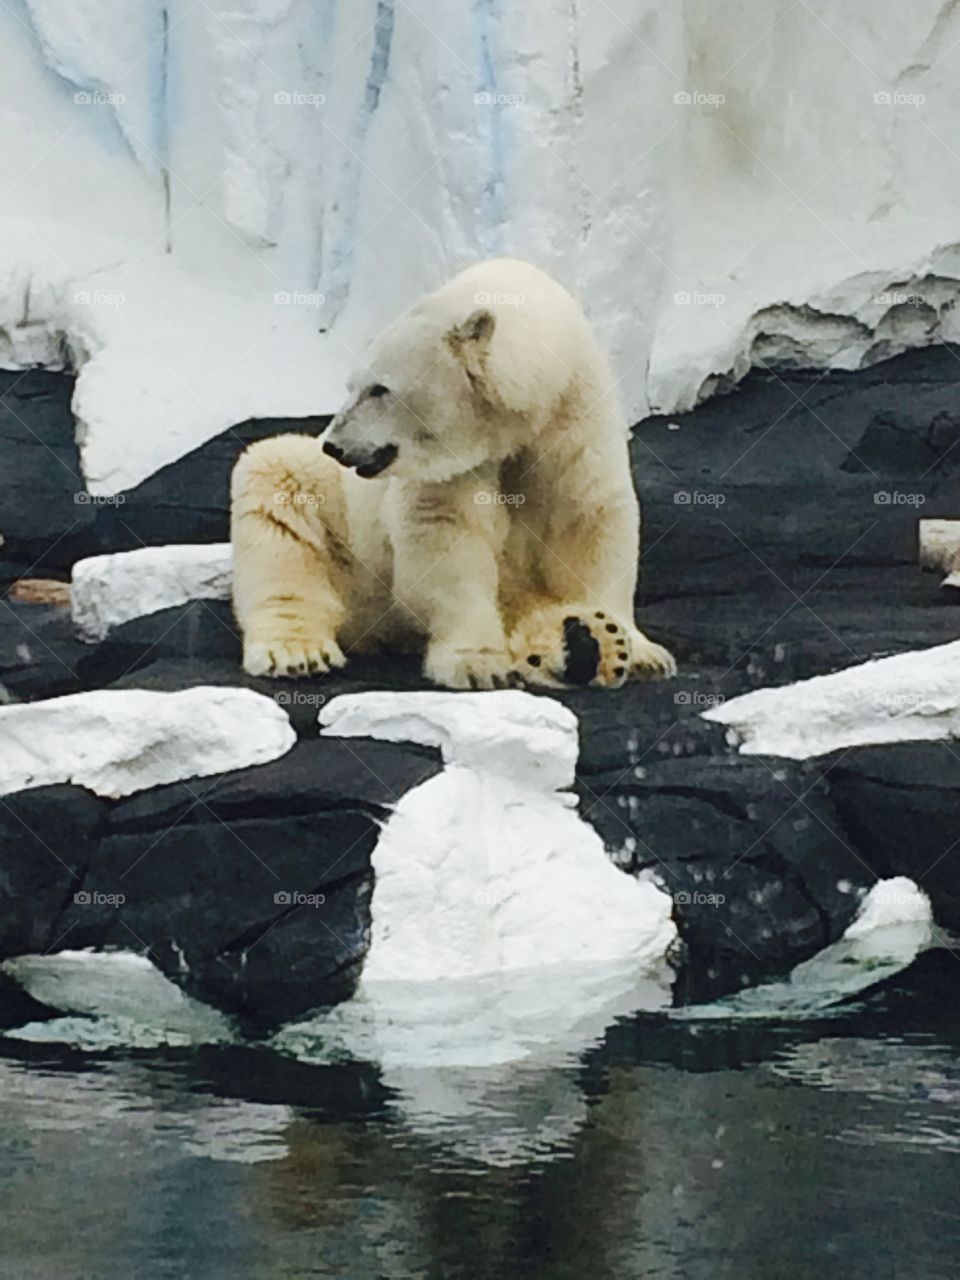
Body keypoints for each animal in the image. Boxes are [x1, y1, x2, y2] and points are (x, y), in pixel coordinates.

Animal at [230, 258, 675, 690]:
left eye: (379, 388)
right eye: (352, 385)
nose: (334, 445)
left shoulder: (574, 425)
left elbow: (590, 524)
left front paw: (638, 652)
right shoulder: (453, 470)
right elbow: (448, 541)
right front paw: (479, 664)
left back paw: (588, 641)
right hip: (348, 542)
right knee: (277, 499)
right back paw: (296, 653)